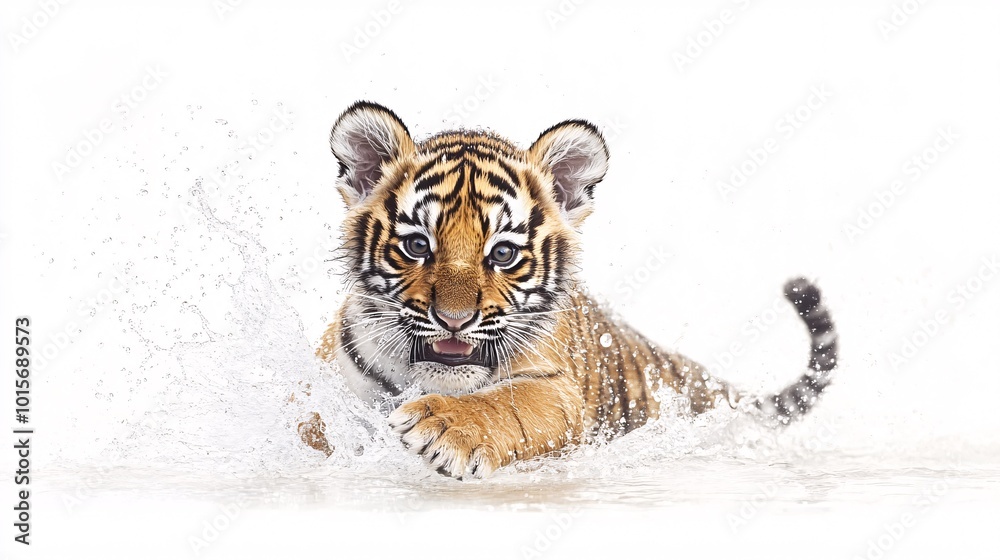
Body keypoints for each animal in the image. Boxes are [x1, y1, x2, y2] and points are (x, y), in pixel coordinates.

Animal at [296, 101, 838, 479]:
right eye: (416, 245)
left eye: (502, 254)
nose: (454, 320)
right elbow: (310, 419)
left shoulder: (557, 389)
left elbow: (506, 404)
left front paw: (445, 428)